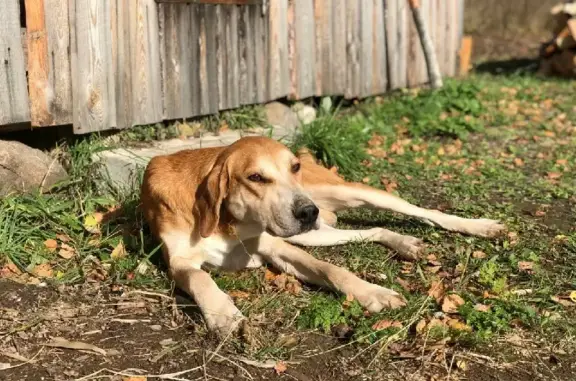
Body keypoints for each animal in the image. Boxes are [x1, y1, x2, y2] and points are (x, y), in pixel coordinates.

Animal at [141, 136, 504, 336]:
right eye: (255, 177)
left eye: (293, 168)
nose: (307, 212)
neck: (228, 222)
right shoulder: (179, 263)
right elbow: (201, 279)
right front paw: (224, 316)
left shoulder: (277, 246)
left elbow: (332, 270)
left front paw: (373, 293)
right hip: (314, 234)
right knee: (370, 231)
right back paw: (403, 242)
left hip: (348, 195)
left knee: (422, 210)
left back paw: (479, 226)